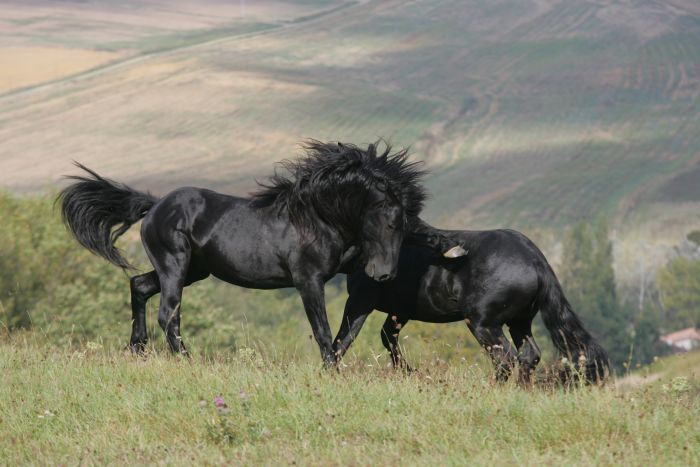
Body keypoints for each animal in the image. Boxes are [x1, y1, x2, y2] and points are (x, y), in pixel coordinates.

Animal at [60, 141, 434, 368]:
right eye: (388, 220)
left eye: (405, 224)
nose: (382, 273)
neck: (317, 218)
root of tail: (155, 206)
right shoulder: (308, 280)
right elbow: (324, 330)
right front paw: (330, 370)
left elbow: (347, 330)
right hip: (174, 266)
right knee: (168, 313)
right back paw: (187, 360)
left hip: (194, 271)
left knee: (139, 286)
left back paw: (137, 348)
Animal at [330, 227, 608, 384]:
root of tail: (537, 261)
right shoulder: (401, 311)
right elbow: (388, 337)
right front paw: (408, 372)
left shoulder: (361, 299)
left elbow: (344, 338)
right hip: (519, 322)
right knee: (529, 355)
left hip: (483, 323)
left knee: (506, 359)